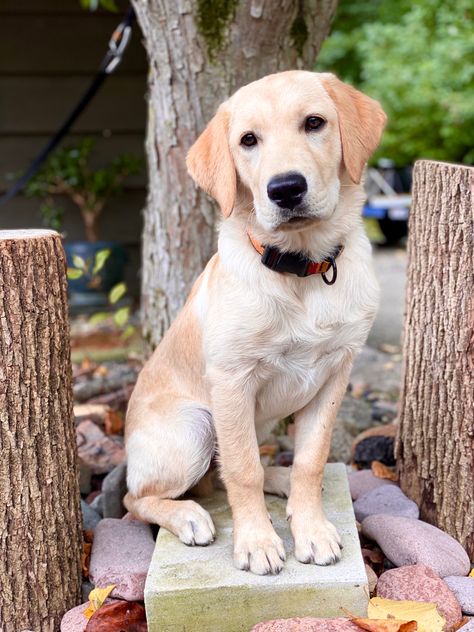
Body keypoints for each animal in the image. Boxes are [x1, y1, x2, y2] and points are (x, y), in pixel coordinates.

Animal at [125, 71, 386, 576]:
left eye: (314, 123)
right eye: (248, 140)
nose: (285, 188)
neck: (301, 268)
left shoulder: (335, 373)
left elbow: (310, 459)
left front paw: (311, 529)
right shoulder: (232, 381)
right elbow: (243, 470)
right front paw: (257, 542)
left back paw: (279, 479)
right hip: (196, 426)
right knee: (138, 497)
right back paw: (188, 515)